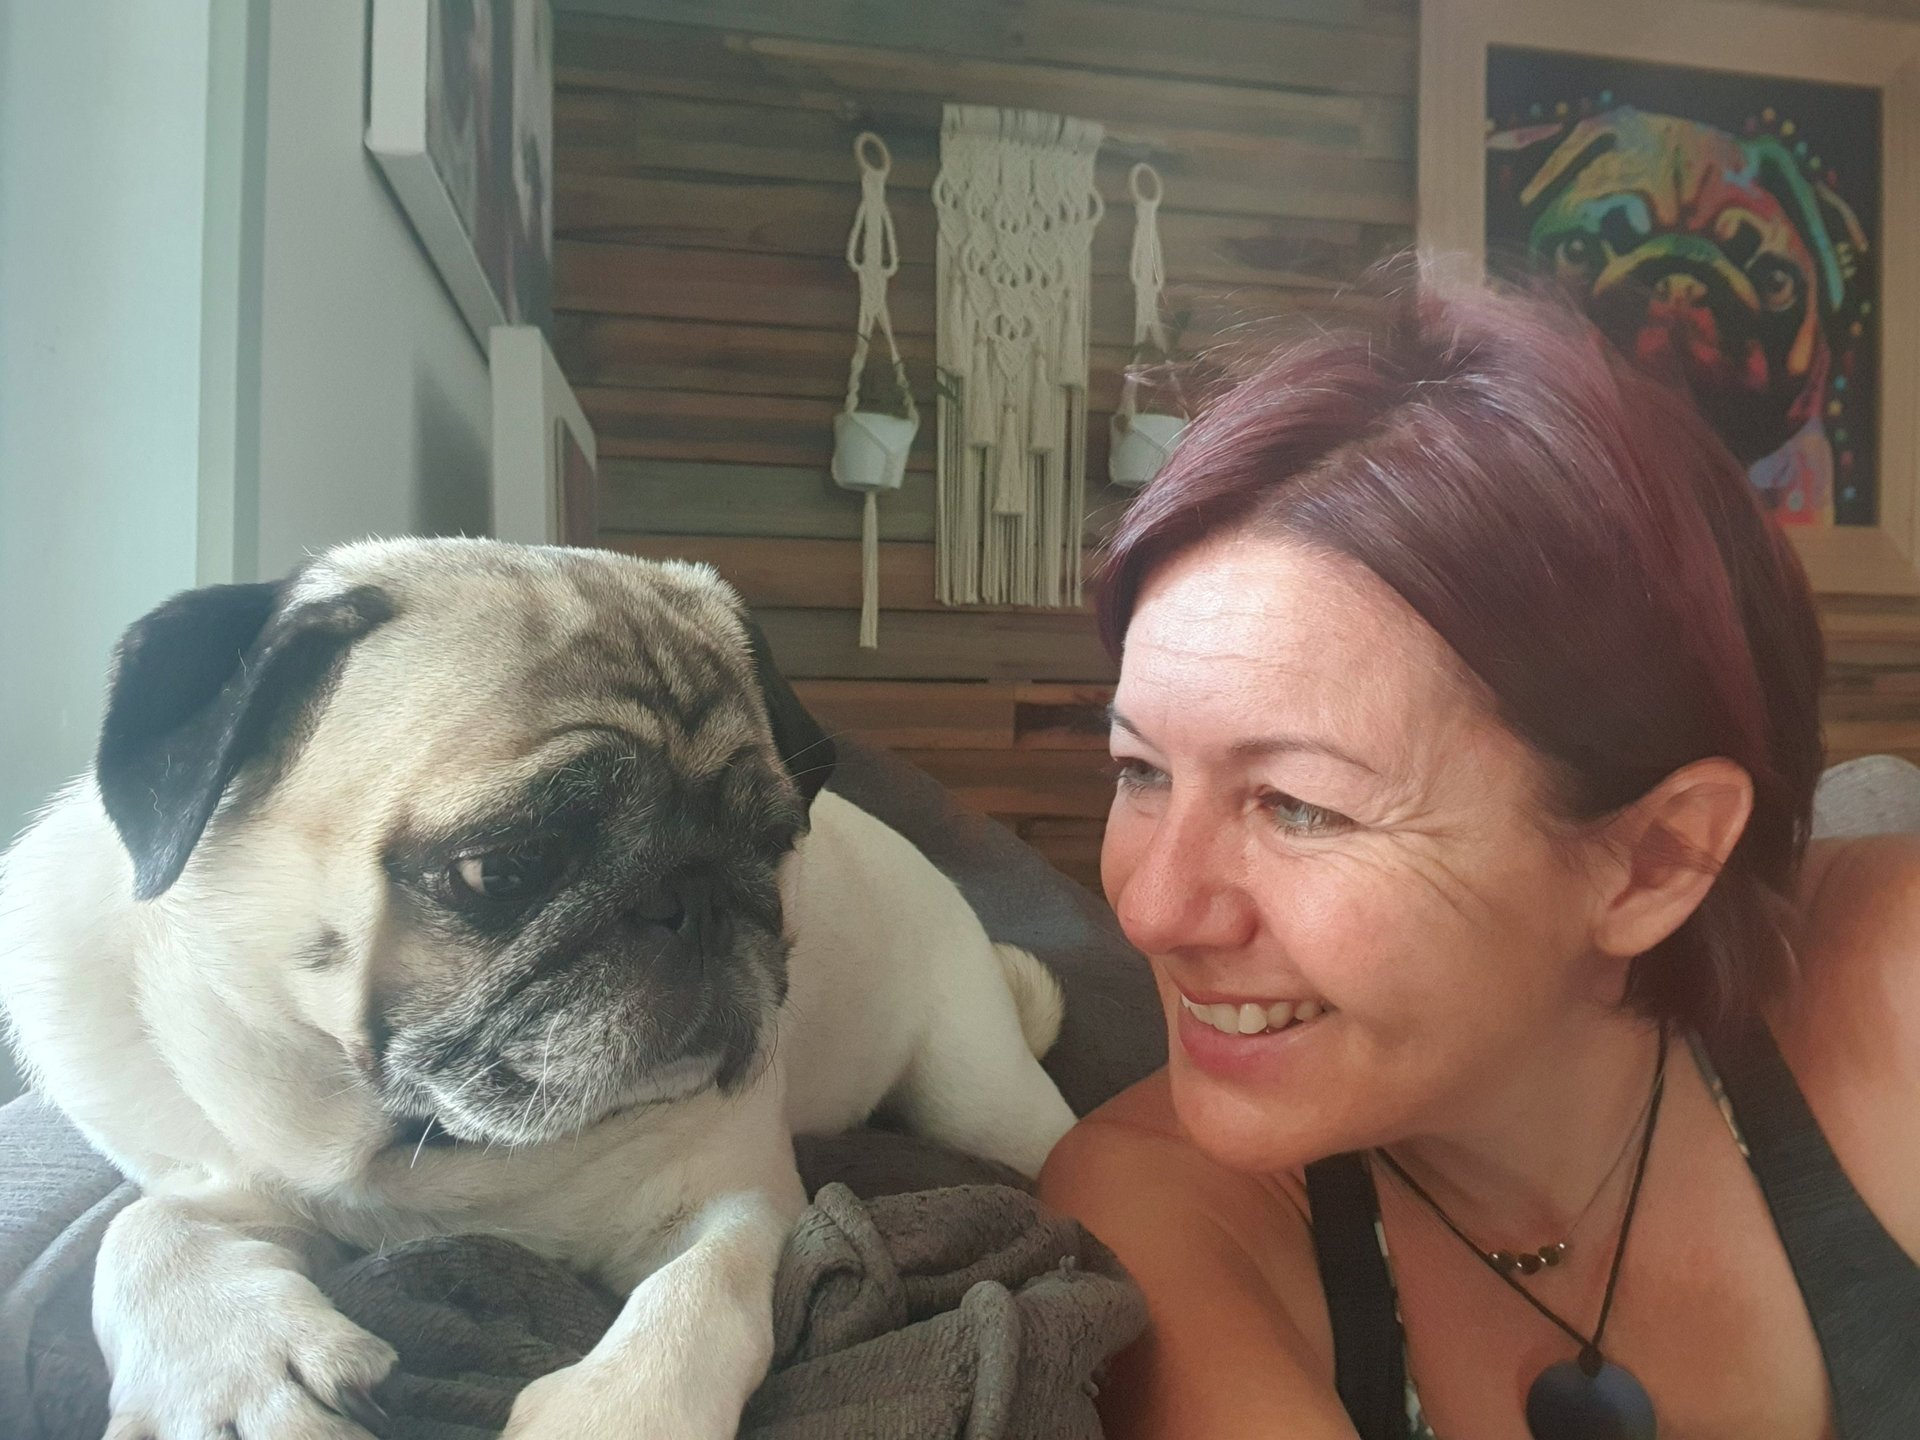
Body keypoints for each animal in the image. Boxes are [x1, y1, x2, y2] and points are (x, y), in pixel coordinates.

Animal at [0, 537, 1076, 1440]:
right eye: (503, 868)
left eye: (774, 847)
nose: (696, 896)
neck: (424, 1151)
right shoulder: (219, 1174)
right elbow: (144, 1224)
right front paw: (230, 1365)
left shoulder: (734, 1197)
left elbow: (701, 1294)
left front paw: (619, 1410)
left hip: (983, 1095)